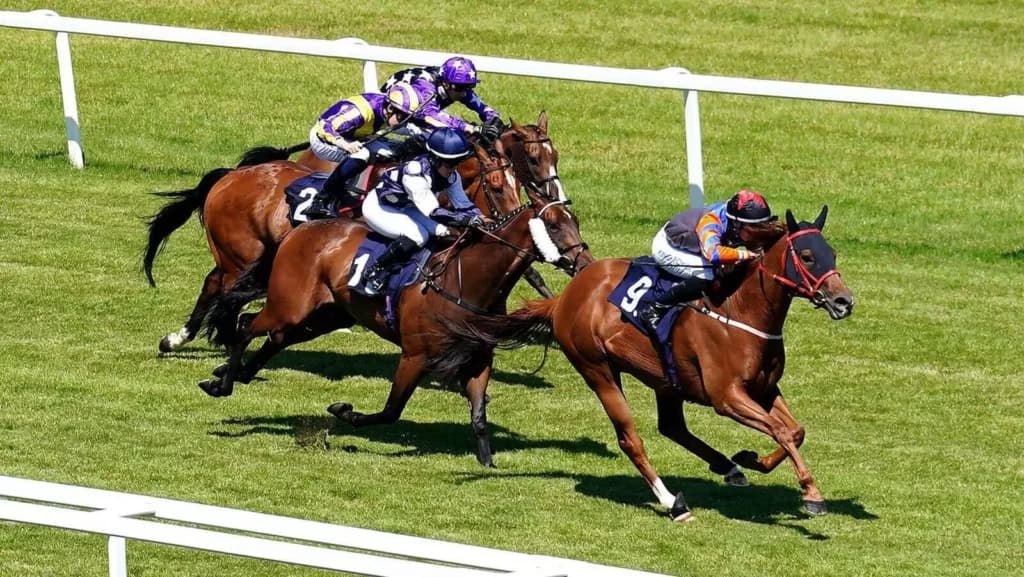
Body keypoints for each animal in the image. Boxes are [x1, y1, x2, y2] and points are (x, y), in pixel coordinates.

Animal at [197, 185, 590, 468]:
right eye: (554, 224)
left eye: (575, 220)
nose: (584, 261)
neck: (466, 281)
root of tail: (304, 227)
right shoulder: (414, 356)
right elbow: (391, 411)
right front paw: (344, 411)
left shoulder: (478, 359)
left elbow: (479, 415)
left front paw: (487, 464)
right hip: (290, 306)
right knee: (247, 325)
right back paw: (224, 384)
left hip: (325, 315)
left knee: (275, 338)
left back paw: (230, 375)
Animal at [433, 207, 854, 520]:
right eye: (807, 256)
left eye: (832, 252)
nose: (844, 301)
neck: (740, 312)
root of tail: (565, 298)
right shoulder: (727, 397)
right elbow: (782, 432)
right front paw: (812, 495)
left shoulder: (764, 389)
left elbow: (795, 431)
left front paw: (751, 460)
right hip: (598, 369)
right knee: (631, 438)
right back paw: (673, 503)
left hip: (666, 379)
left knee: (672, 427)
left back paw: (728, 467)